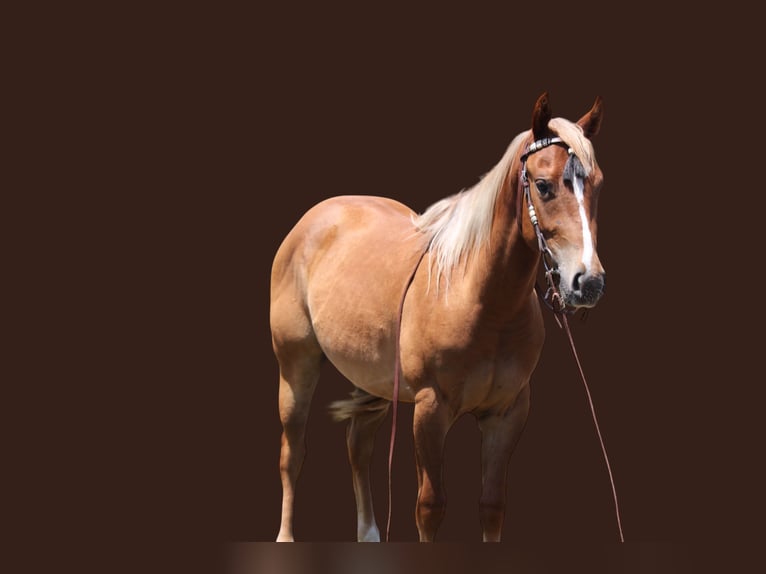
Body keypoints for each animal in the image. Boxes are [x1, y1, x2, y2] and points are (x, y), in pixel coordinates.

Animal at [270, 93, 606, 542]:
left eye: (597, 184)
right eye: (543, 185)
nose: (587, 282)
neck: (479, 299)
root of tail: (313, 219)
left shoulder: (507, 414)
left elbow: (492, 506)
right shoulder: (431, 411)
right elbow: (430, 507)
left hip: (374, 378)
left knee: (358, 446)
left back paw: (369, 534)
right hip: (296, 368)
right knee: (292, 453)